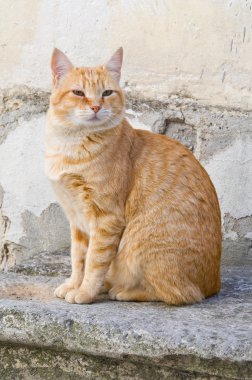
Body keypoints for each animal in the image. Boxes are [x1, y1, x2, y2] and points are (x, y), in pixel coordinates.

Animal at [45, 47, 220, 304]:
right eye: (78, 92)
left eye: (107, 93)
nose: (96, 107)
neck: (71, 144)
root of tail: (214, 284)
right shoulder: (76, 220)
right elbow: (78, 259)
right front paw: (73, 284)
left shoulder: (106, 218)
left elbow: (94, 262)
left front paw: (85, 292)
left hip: (139, 243)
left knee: (181, 294)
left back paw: (122, 291)